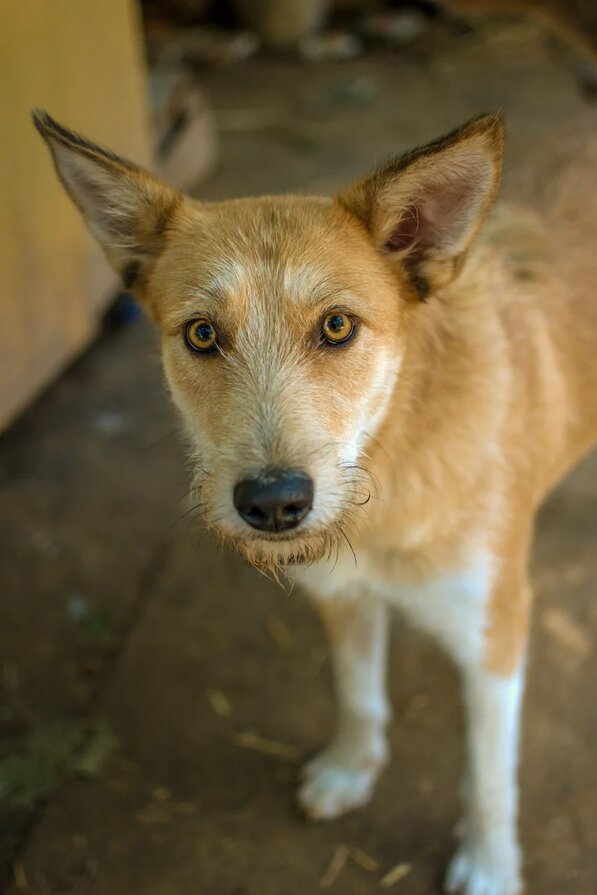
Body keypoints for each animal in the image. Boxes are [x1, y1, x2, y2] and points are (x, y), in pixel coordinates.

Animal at [33, 107, 596, 895]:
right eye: (202, 334)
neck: (390, 468)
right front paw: (350, 771)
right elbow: (357, 694)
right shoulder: (341, 594)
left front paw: (488, 864)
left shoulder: (495, 631)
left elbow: (488, 775)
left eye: (336, 326)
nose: (274, 504)